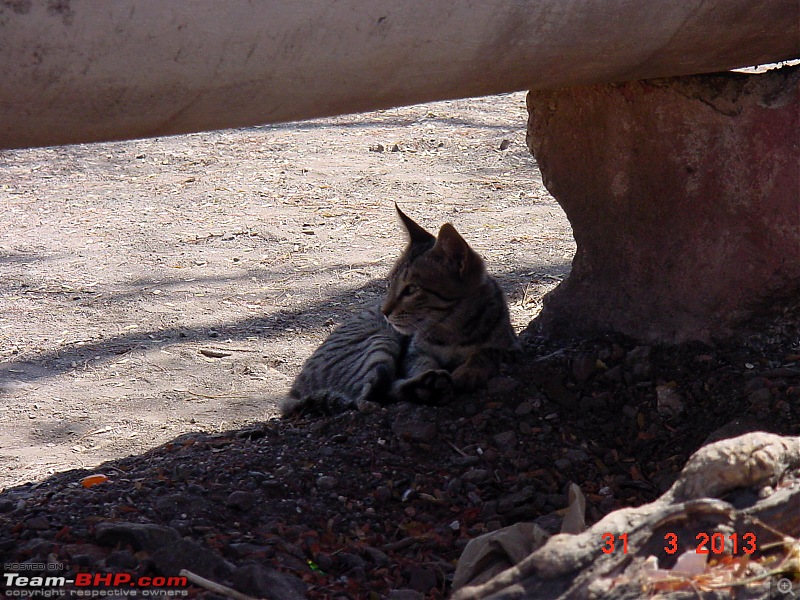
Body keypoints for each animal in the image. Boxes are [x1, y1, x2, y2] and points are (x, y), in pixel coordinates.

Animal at [282, 204, 520, 414]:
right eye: (389, 284)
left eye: (411, 289)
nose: (385, 311)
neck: (451, 330)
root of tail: (293, 392)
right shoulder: (413, 353)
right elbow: (422, 363)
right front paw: (434, 373)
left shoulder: (511, 347)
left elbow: (486, 352)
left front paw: (469, 371)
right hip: (379, 341)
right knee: (367, 396)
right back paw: (427, 386)